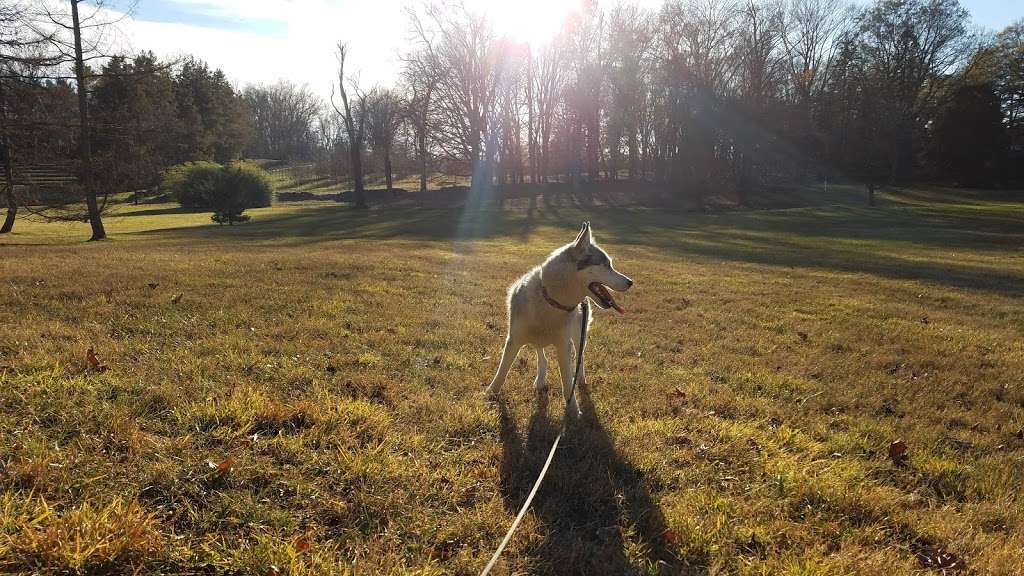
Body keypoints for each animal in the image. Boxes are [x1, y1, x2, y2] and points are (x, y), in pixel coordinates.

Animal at [485, 222, 630, 414]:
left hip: (578, 336)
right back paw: (540, 380)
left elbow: (567, 382)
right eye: (607, 265)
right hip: (539, 339)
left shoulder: (563, 345)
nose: (630, 282)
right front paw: (491, 393)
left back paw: (580, 379)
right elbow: (502, 372)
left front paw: (573, 411)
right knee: (543, 357)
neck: (551, 302)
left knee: (580, 359)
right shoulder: (514, 340)